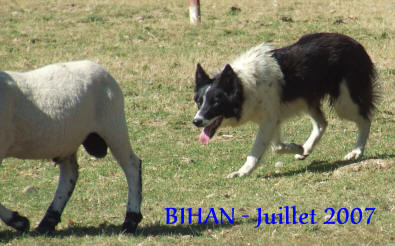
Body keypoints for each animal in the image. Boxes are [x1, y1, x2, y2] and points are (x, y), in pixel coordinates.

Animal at [0, 60, 142, 234]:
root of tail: (100, 68)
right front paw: (19, 221)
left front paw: (19, 221)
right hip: (67, 142)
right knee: (70, 174)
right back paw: (48, 221)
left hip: (113, 125)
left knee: (132, 165)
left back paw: (131, 220)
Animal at [193, 33, 378, 179]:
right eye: (199, 101)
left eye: (216, 102)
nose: (196, 121)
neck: (245, 84)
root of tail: (355, 43)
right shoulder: (272, 118)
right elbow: (276, 146)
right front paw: (297, 148)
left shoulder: (269, 119)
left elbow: (258, 151)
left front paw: (242, 172)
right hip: (309, 100)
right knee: (322, 123)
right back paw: (306, 149)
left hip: (344, 102)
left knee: (365, 120)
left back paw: (357, 151)